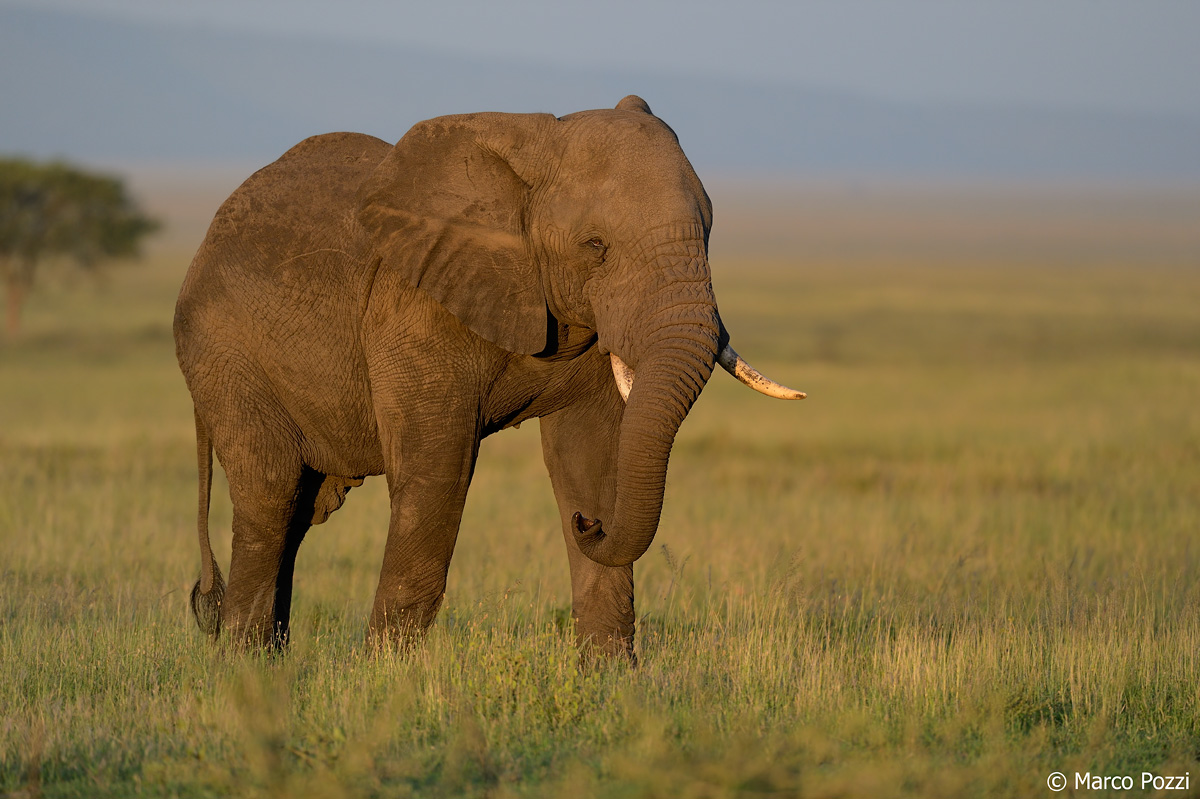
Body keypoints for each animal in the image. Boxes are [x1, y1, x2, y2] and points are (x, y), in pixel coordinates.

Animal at [174, 95, 804, 660]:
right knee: (270, 496)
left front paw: (610, 682)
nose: (588, 524)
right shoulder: (418, 305)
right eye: (595, 246)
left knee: (302, 513)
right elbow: (436, 473)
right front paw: (386, 682)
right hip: (223, 355)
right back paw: (246, 668)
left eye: (709, 232)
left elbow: (589, 457)